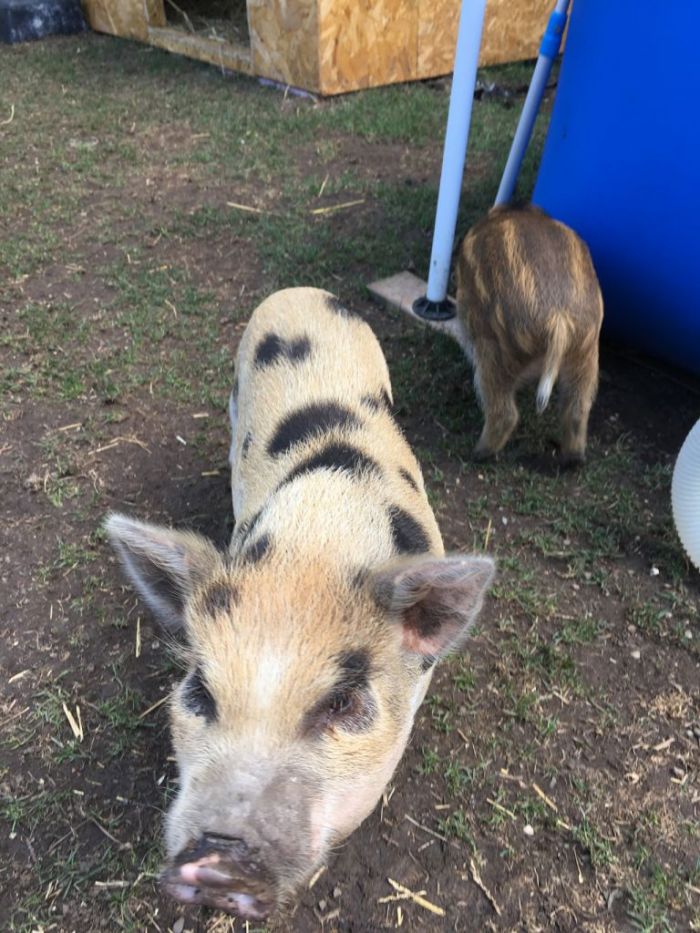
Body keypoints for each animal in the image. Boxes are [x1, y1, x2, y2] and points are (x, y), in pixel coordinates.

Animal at [454, 206, 600, 464]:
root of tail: (559, 321)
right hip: (586, 354)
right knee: (577, 408)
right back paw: (573, 460)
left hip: (494, 353)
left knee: (504, 412)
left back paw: (476, 453)